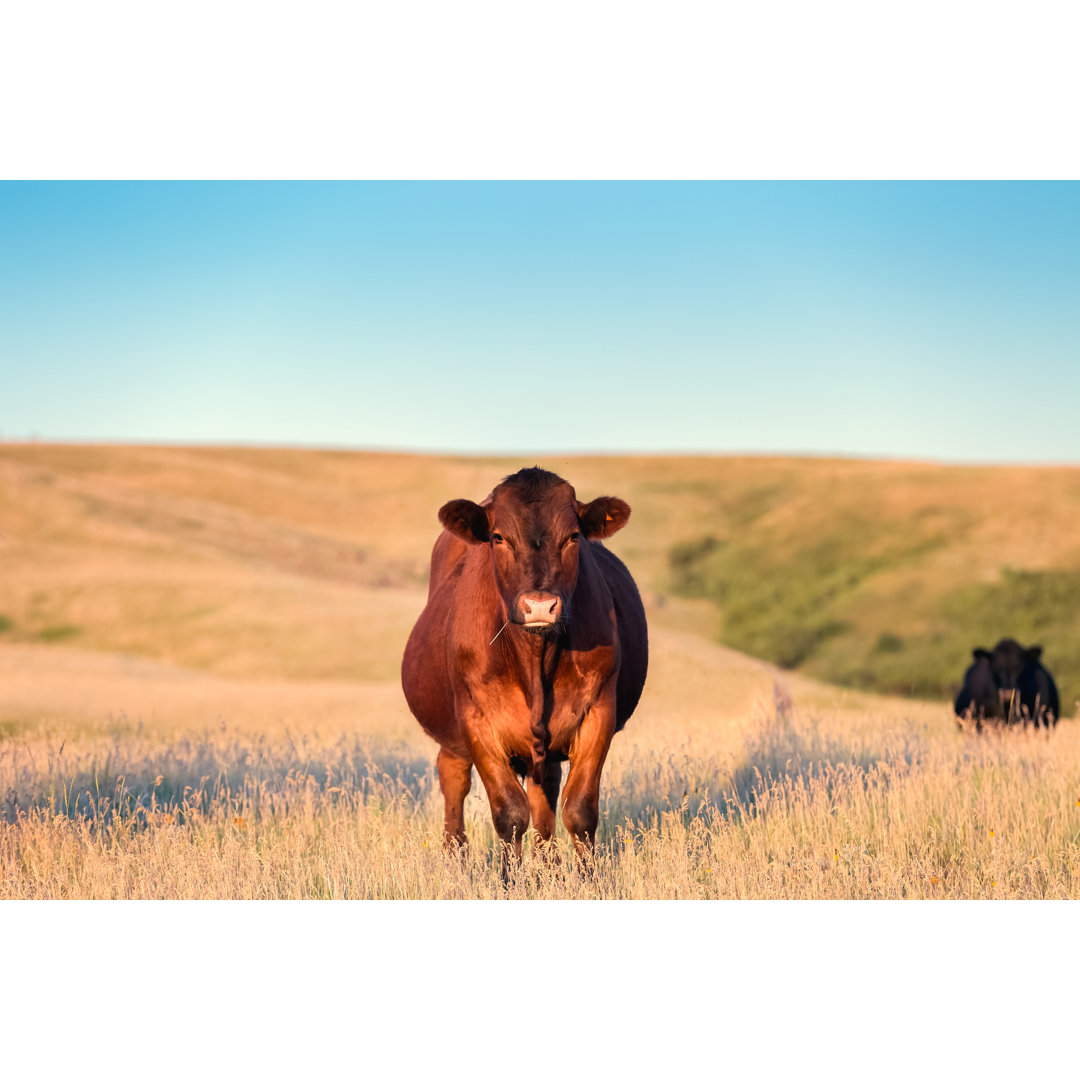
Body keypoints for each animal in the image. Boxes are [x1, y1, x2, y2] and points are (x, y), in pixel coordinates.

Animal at [399, 466, 643, 859]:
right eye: (498, 537)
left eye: (574, 536)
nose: (540, 605)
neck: (535, 657)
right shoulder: (477, 719)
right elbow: (510, 813)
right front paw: (507, 874)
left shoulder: (598, 710)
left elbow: (580, 811)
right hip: (453, 735)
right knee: (453, 779)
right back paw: (455, 855)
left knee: (545, 795)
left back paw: (548, 864)